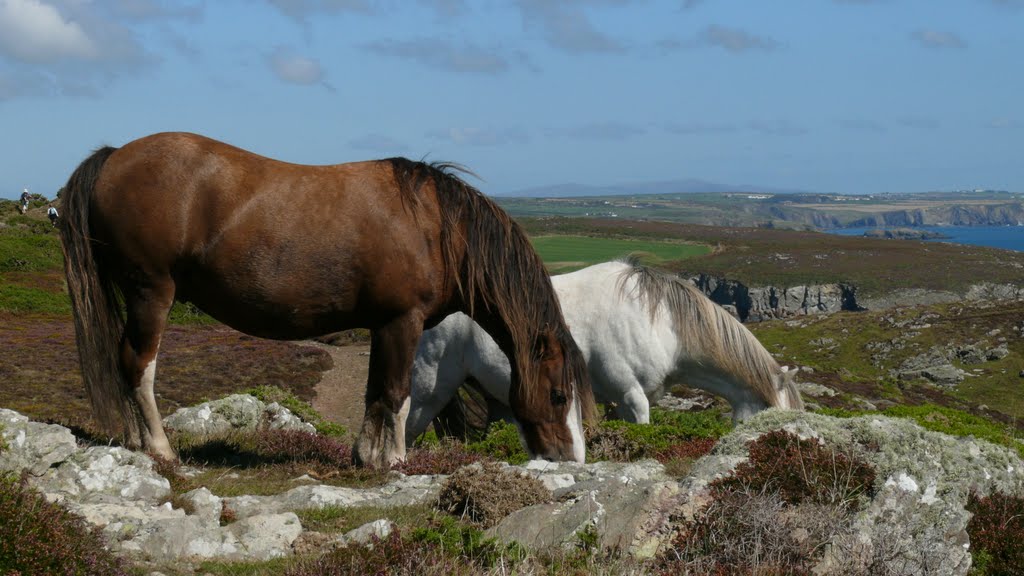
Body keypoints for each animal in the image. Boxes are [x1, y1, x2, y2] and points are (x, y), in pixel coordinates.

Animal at [59, 131, 598, 467]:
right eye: (558, 395)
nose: (570, 459)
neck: (438, 227)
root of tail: (114, 156)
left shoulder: (383, 325)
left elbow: (376, 392)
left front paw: (365, 457)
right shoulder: (402, 321)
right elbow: (396, 395)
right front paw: (394, 461)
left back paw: (135, 443)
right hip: (151, 292)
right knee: (138, 366)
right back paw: (160, 449)